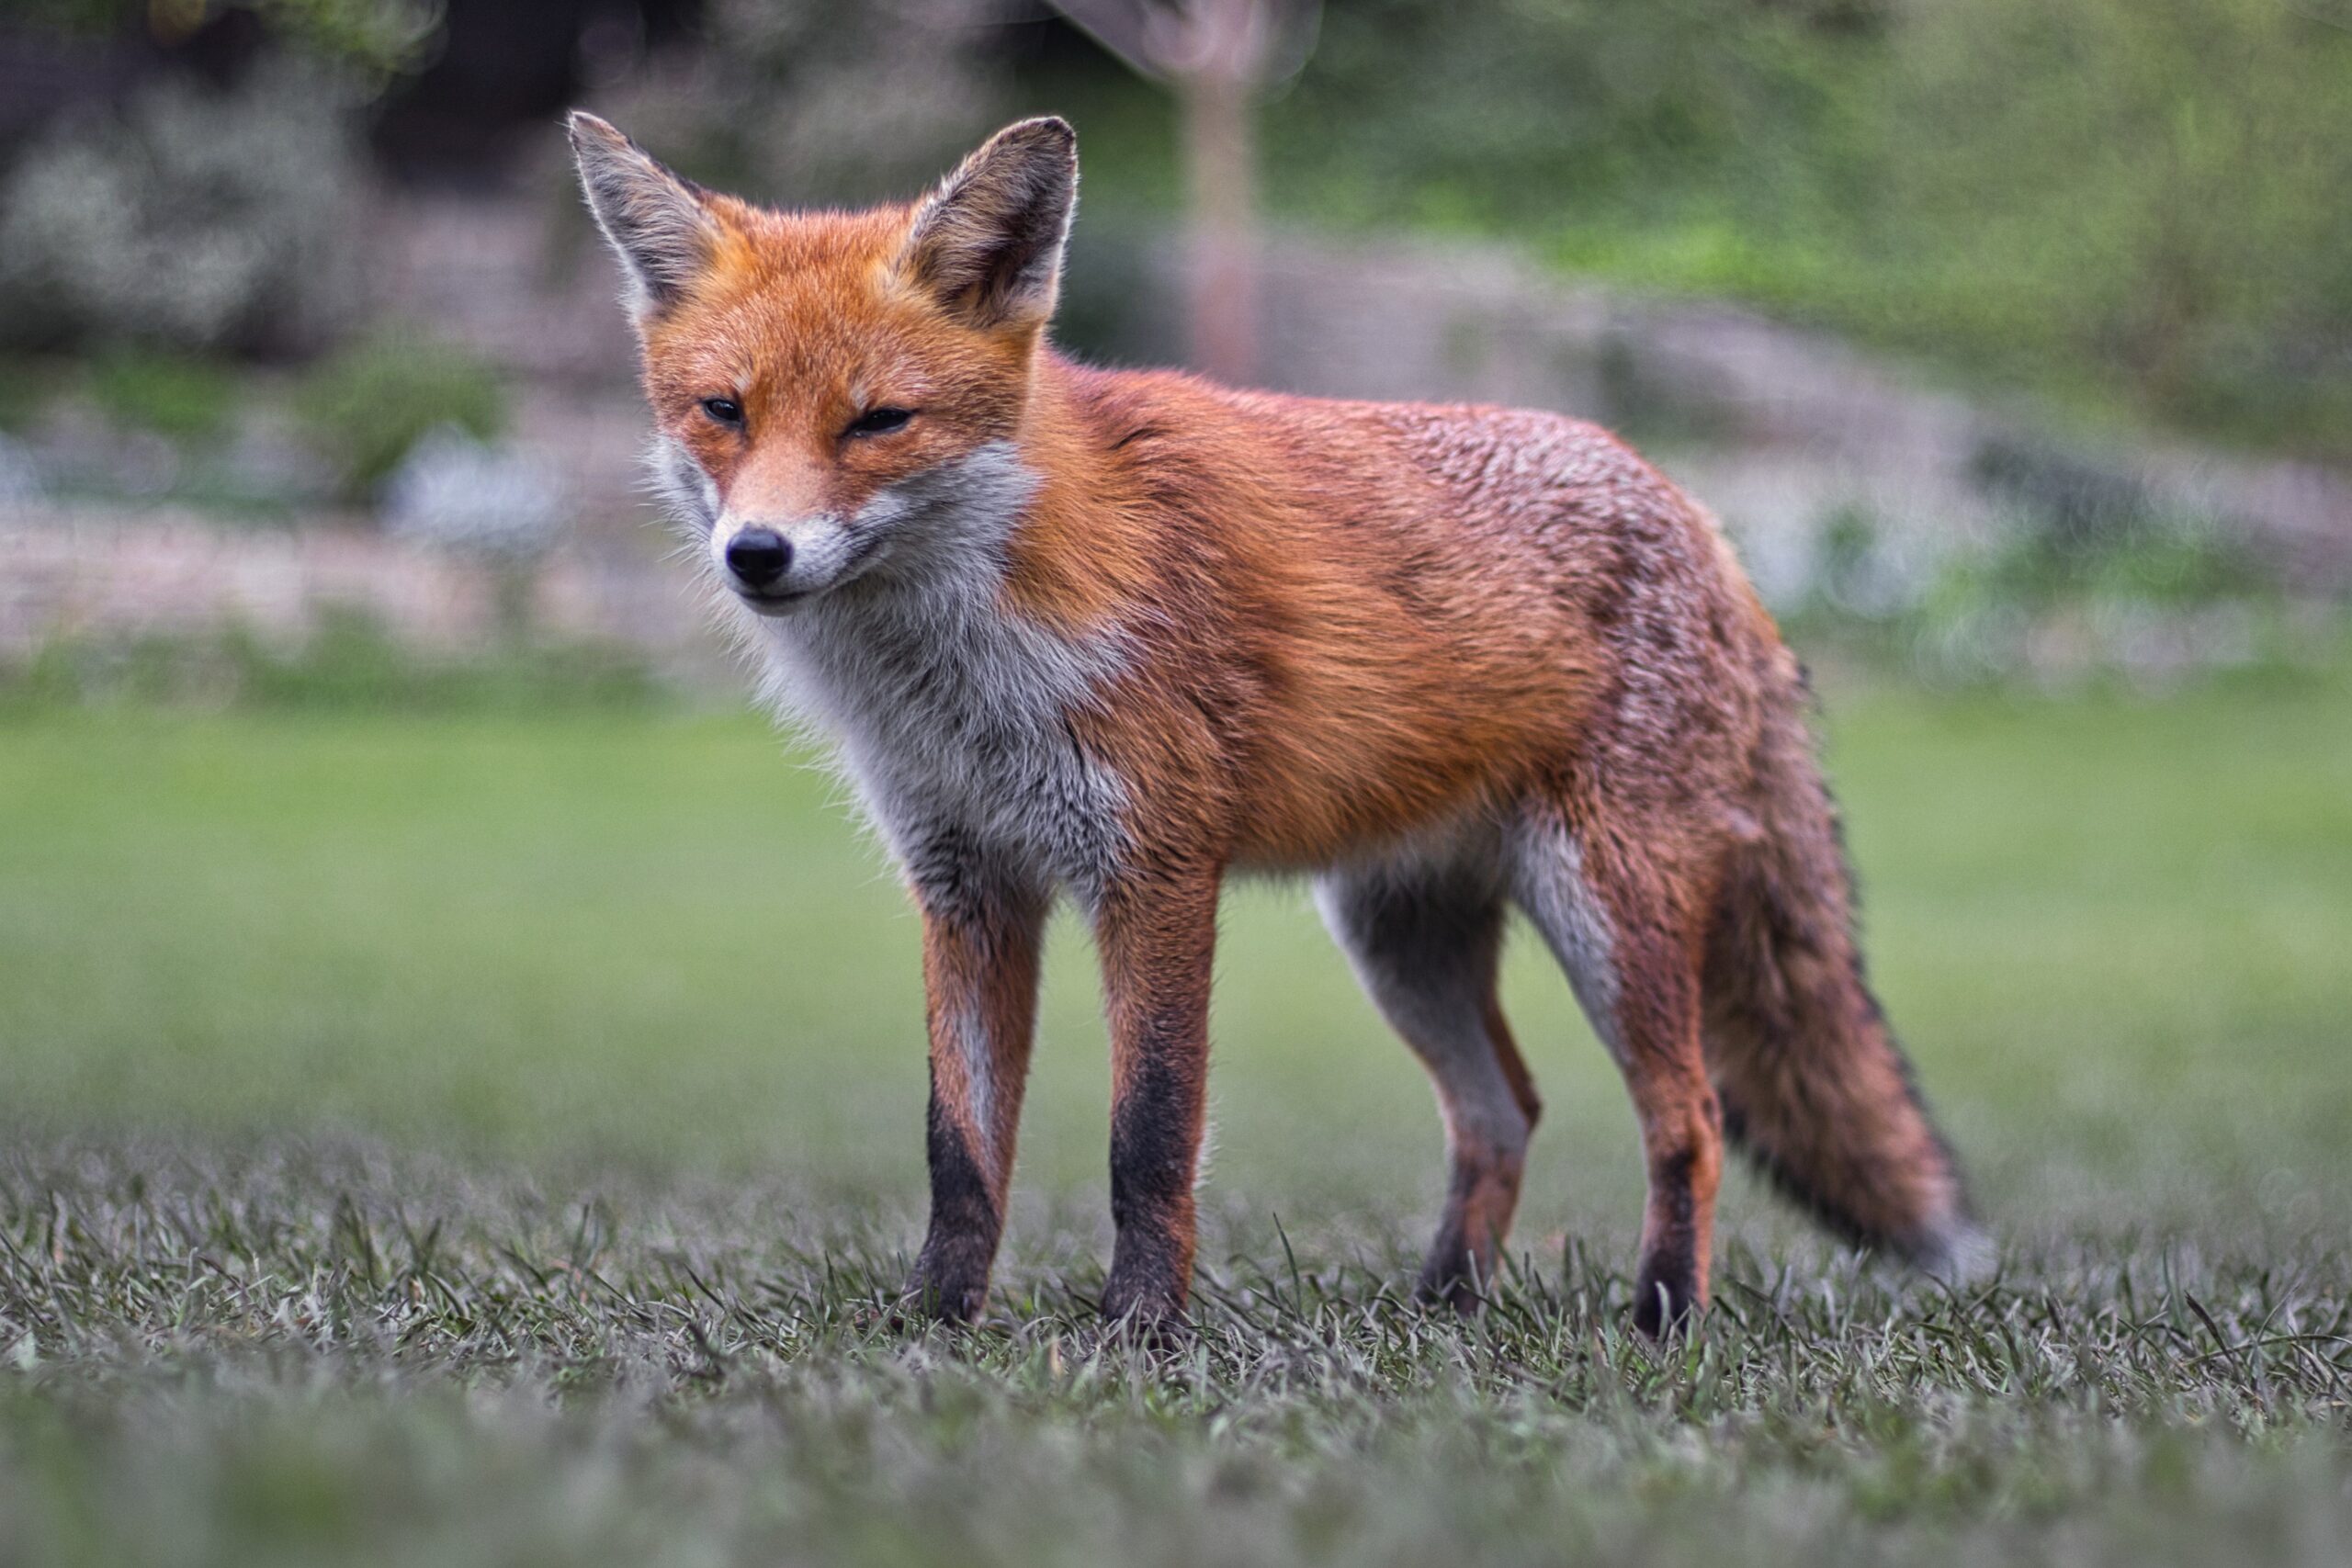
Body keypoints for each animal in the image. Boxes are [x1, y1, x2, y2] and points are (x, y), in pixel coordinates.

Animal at [567, 110, 1984, 1336]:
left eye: (878, 422)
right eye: (724, 411)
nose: (757, 554)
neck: (962, 665)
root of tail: (1707, 525)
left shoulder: (1154, 869)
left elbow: (1149, 1135)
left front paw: (1137, 1334)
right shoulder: (966, 883)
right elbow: (959, 1148)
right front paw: (933, 1323)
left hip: (1605, 916)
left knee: (1687, 1118)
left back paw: (1661, 1319)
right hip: (1400, 939)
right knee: (1504, 1111)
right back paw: (1444, 1308)